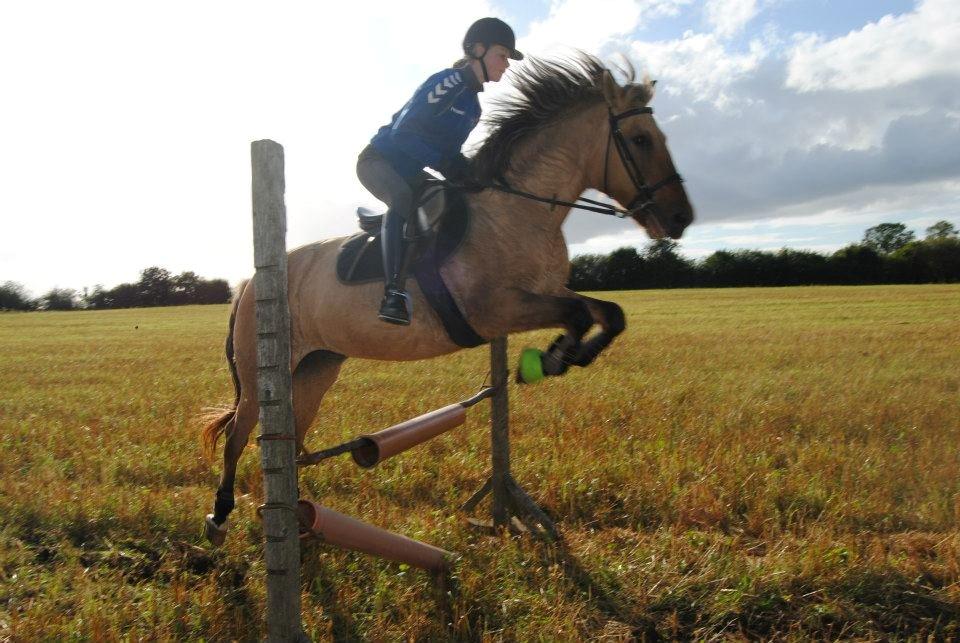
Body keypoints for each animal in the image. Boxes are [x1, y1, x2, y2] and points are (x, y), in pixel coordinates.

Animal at [204, 54, 696, 544]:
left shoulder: (541, 294)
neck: (519, 210)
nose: (681, 218)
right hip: (264, 375)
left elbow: (608, 313)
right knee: (238, 435)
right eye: (641, 139)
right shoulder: (495, 310)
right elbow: (576, 315)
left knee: (290, 440)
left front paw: (570, 356)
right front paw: (547, 360)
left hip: (316, 369)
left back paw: (301, 522)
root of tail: (250, 281)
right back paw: (221, 515)